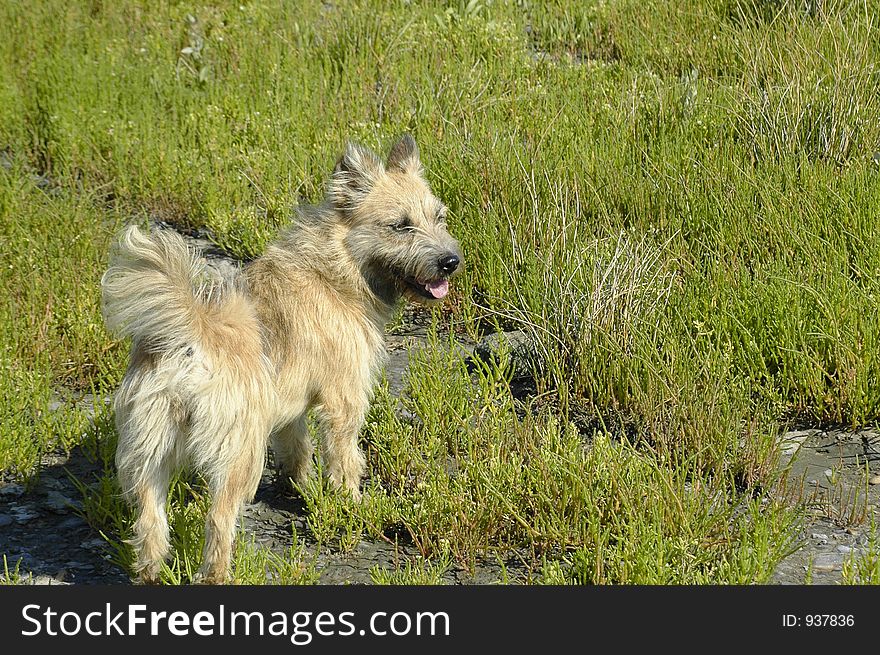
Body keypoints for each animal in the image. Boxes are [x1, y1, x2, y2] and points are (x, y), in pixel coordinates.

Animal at [100, 135, 464, 584]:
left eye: (438, 217)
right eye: (401, 225)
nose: (450, 261)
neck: (336, 267)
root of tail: (190, 335)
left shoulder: (291, 407)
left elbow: (297, 449)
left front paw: (302, 488)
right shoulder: (344, 402)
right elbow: (345, 459)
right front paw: (350, 502)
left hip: (147, 452)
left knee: (149, 519)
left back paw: (151, 572)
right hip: (240, 454)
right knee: (217, 520)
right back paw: (219, 575)